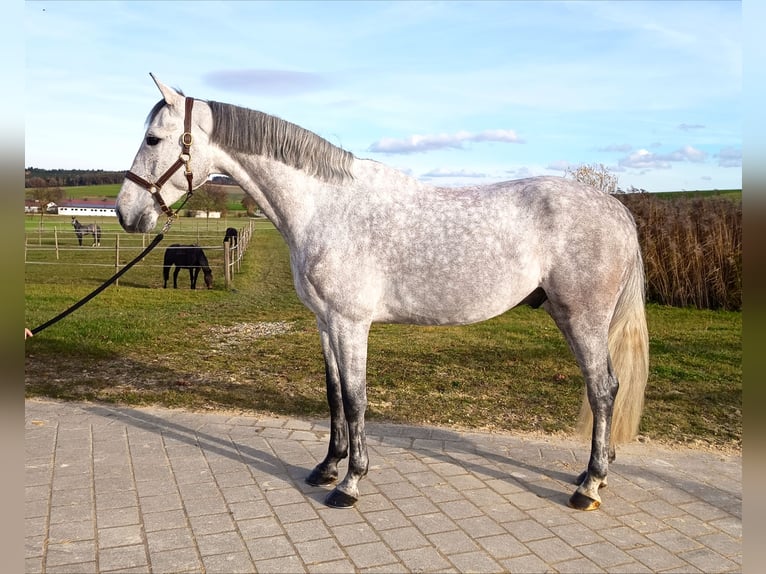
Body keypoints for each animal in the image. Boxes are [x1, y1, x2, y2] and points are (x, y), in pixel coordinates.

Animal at [116, 75, 649, 512]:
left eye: (153, 138)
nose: (127, 213)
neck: (325, 206)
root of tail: (616, 209)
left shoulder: (351, 323)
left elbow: (355, 399)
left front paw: (350, 484)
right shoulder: (326, 322)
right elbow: (333, 394)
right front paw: (326, 467)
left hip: (582, 317)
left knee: (604, 389)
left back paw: (588, 486)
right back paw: (592, 474)